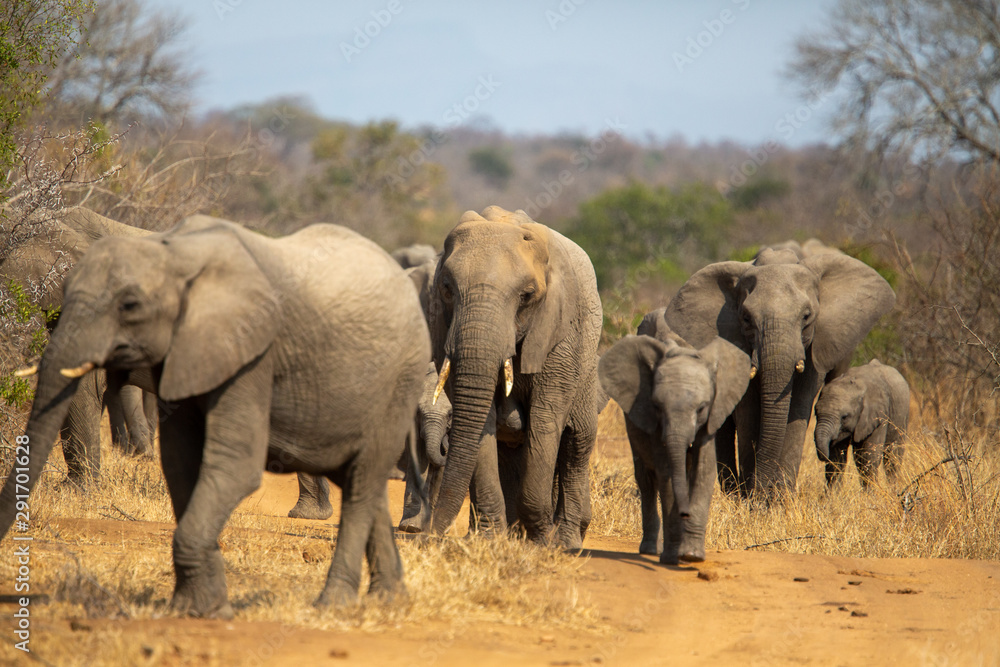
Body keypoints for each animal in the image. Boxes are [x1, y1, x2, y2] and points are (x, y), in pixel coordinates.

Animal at [424, 206, 596, 552]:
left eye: (526, 296)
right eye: (447, 289)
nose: (430, 538)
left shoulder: (560, 335)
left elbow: (546, 420)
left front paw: (544, 542)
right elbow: (482, 424)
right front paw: (490, 541)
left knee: (576, 442)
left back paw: (568, 542)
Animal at [592, 308, 752, 564]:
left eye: (702, 408)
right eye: (657, 406)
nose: (685, 513)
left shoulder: (712, 416)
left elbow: (703, 470)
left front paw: (692, 556)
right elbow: (666, 473)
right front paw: (672, 556)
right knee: (647, 479)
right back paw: (650, 549)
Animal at [668, 248, 896, 498]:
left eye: (806, 316)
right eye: (746, 318)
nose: (761, 491)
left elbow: (798, 405)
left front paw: (779, 498)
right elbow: (749, 411)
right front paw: (754, 500)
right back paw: (733, 494)